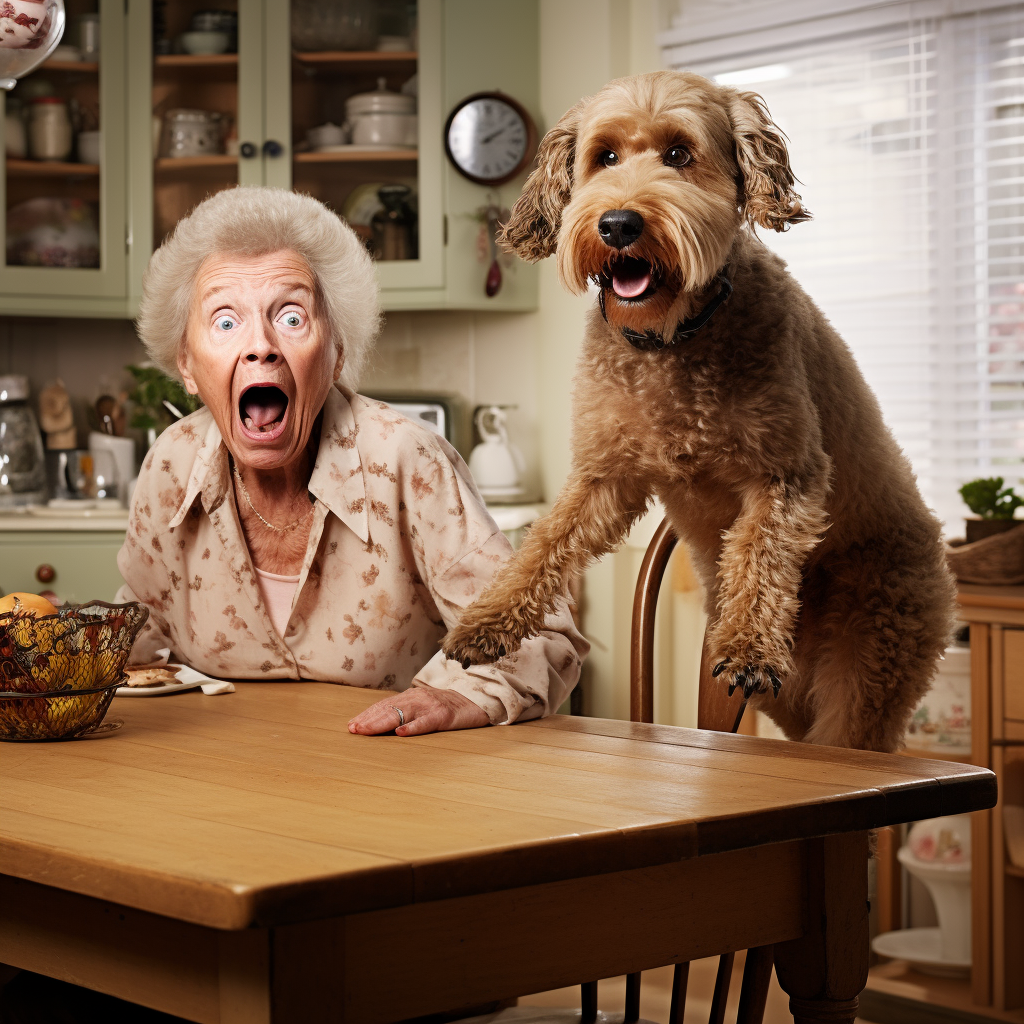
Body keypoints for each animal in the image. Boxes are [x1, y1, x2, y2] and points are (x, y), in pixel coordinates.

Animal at [442, 68, 958, 749]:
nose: (618, 225)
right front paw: (486, 621)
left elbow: (760, 554)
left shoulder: (785, 474)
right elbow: (543, 544)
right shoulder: (605, 477)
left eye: (679, 155)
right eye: (604, 157)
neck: (672, 341)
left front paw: (750, 648)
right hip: (796, 698)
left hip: (871, 658)